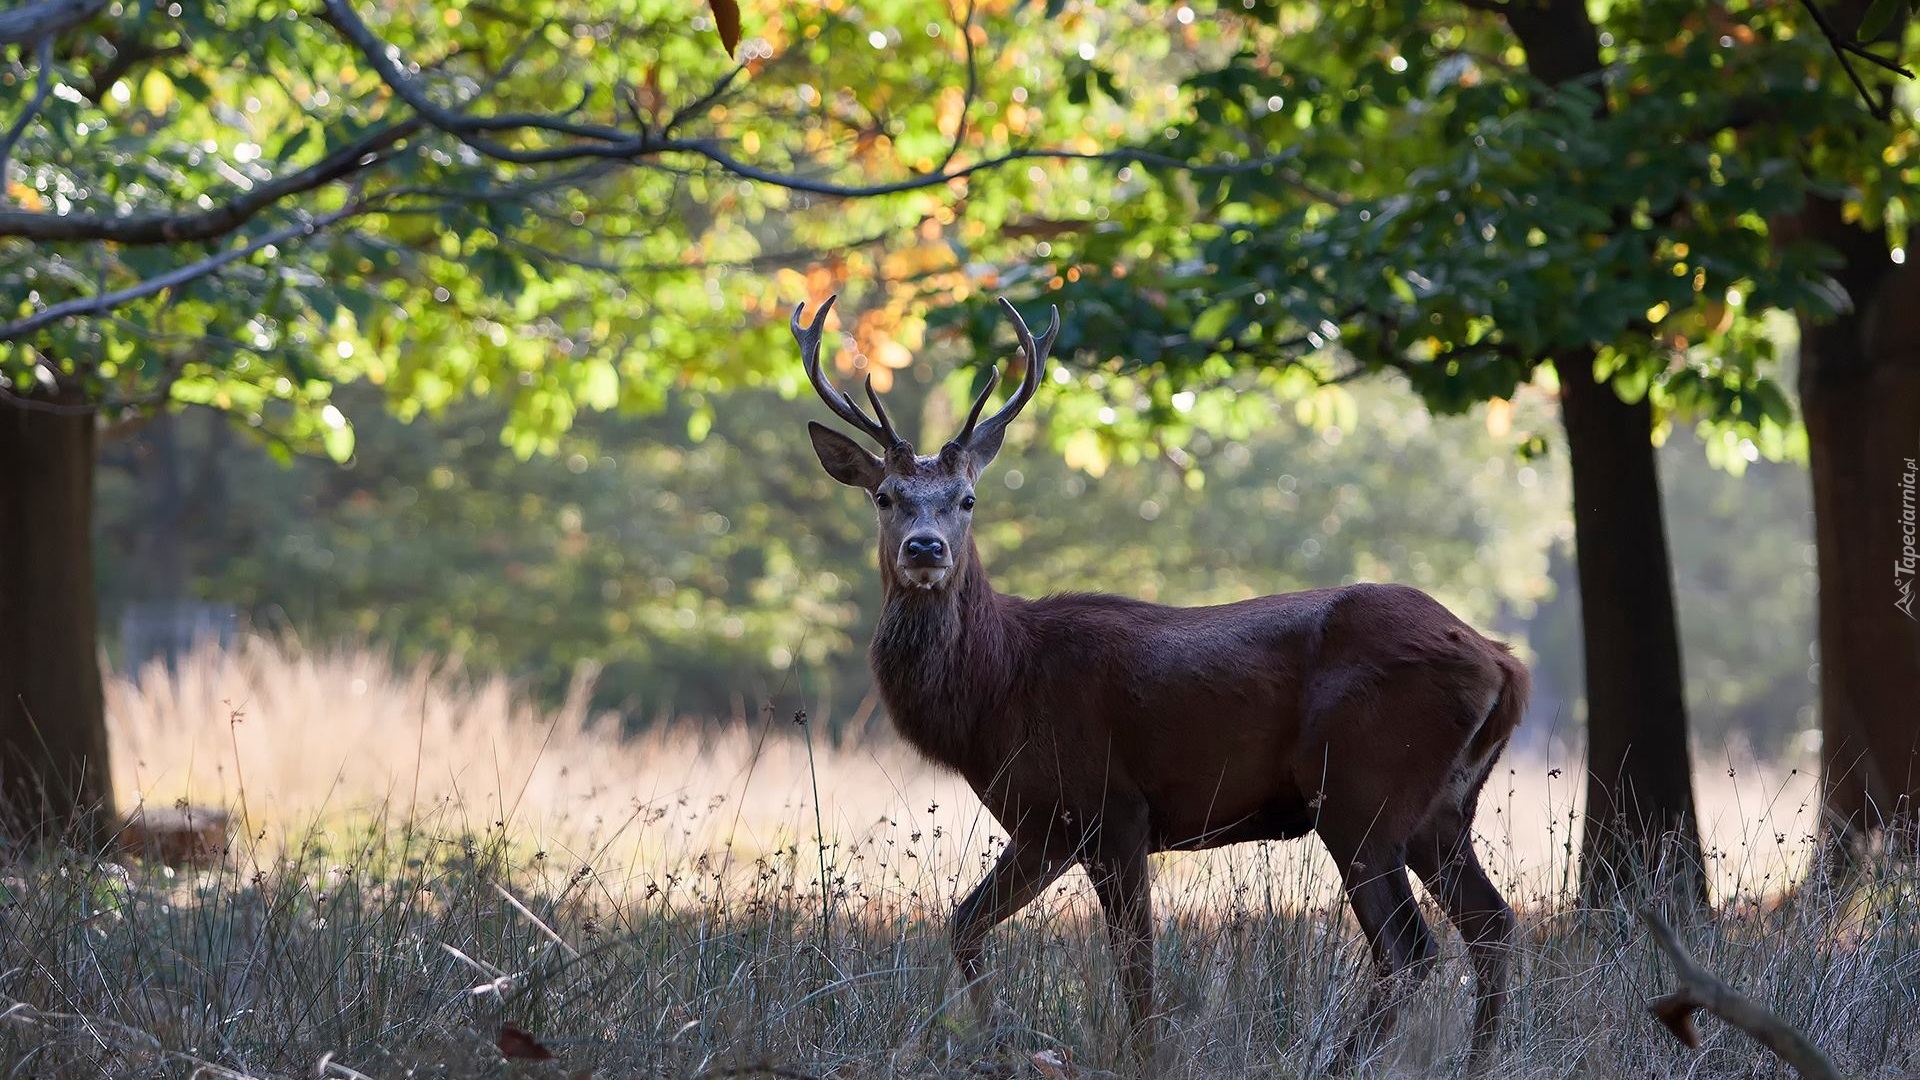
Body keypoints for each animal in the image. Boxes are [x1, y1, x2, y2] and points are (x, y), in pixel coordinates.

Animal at [791, 288, 1528, 1068]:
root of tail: (1502, 662)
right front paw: (1001, 1049)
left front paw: (1135, 1056)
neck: (999, 688)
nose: (925, 549)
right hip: (1440, 807)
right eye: (885, 496)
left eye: (967, 499)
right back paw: (1478, 1060)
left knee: (1410, 949)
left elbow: (1136, 966)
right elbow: (963, 923)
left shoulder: (1111, 805)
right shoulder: (1045, 823)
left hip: (1364, 787)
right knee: (1492, 922)